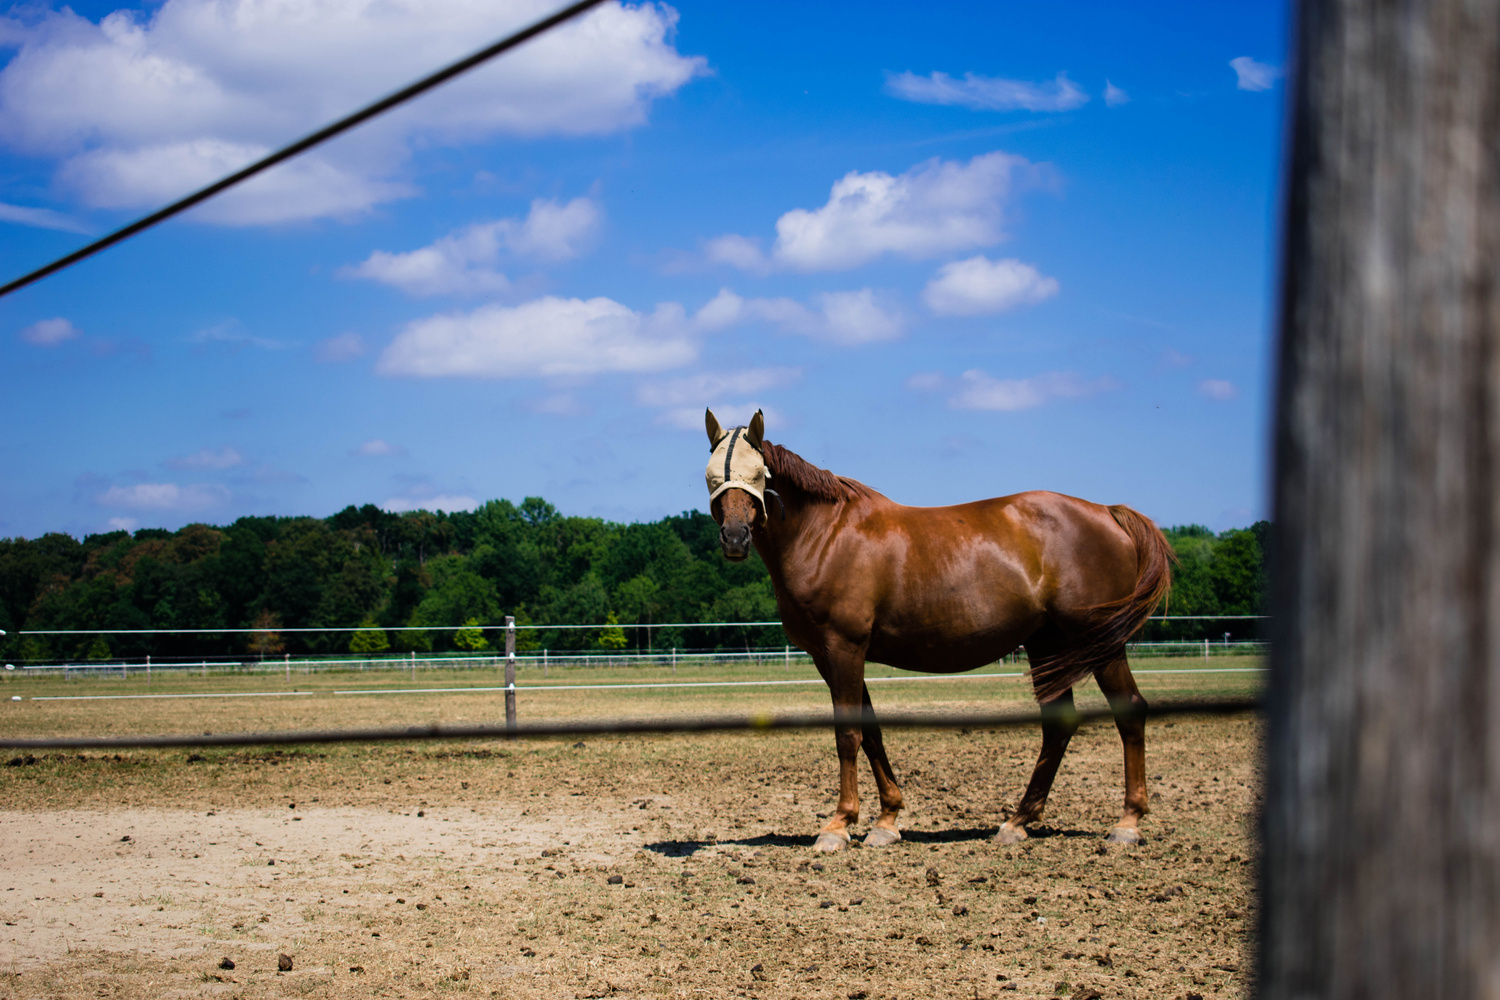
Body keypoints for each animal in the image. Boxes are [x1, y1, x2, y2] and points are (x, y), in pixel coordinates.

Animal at [702, 408, 1173, 852]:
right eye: (711, 476)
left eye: (758, 474)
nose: (735, 537)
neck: (826, 534)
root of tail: (1107, 512)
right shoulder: (830, 656)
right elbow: (871, 732)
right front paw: (887, 820)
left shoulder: (844, 648)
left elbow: (848, 734)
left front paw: (839, 825)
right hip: (1046, 645)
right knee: (1058, 725)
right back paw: (1017, 821)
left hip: (1100, 643)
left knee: (1129, 711)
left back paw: (1127, 822)